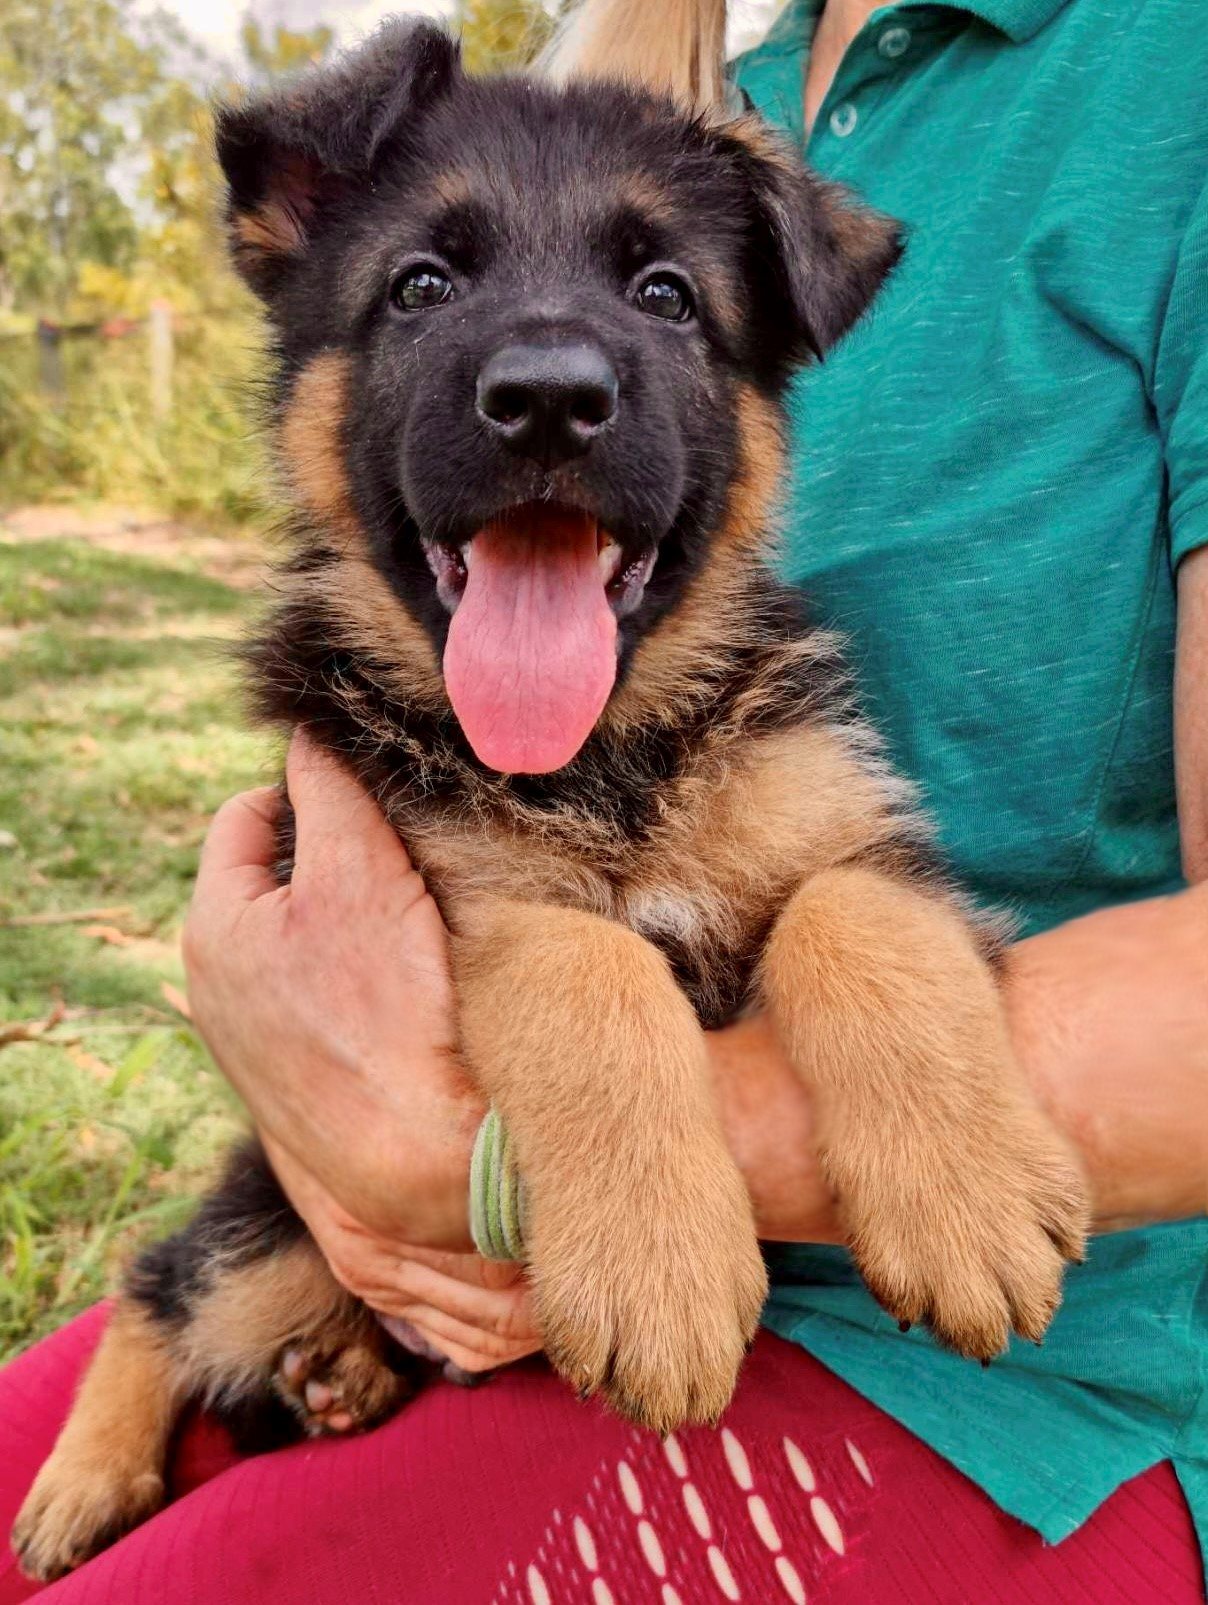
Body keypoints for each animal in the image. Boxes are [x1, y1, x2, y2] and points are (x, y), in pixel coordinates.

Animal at [11, 18, 1084, 1585]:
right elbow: (584, 961)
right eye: (422, 284)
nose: (550, 401)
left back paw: (341, 1379)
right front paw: (659, 1266)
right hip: (273, 1221)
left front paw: (966, 1194)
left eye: (664, 296)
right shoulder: (448, 896)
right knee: (161, 1283)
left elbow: (851, 916)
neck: (605, 759)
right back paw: (90, 1474)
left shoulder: (861, 836)